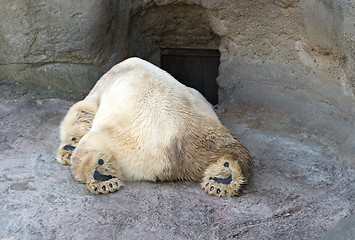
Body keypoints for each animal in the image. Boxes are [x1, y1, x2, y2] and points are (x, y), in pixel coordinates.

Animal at [57, 57, 253, 197]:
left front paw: (68, 147)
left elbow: (83, 109)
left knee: (87, 148)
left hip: (123, 140)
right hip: (206, 134)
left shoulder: (105, 82)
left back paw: (101, 176)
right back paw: (222, 178)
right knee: (233, 148)